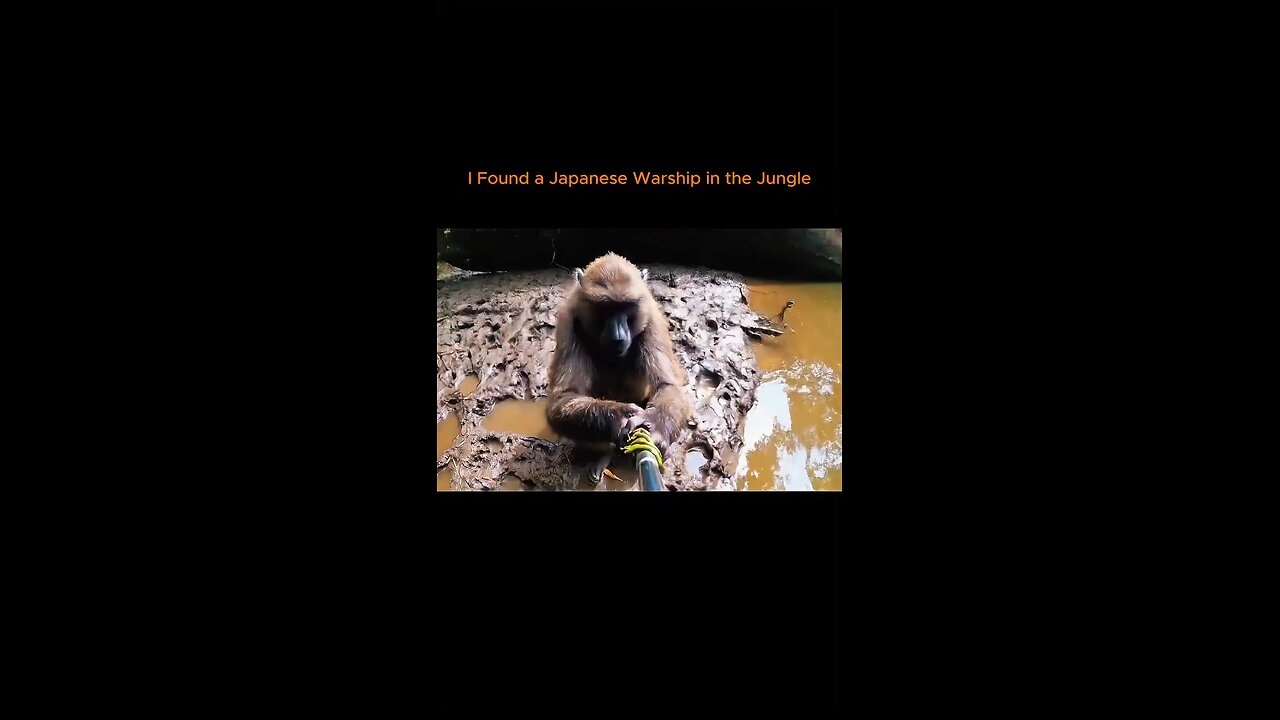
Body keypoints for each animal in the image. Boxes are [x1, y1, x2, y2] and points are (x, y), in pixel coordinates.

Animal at [546, 252, 692, 485]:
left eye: (626, 307)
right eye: (606, 309)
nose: (617, 336)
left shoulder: (651, 318)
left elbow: (667, 386)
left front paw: (653, 425)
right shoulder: (569, 322)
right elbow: (563, 399)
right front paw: (621, 416)